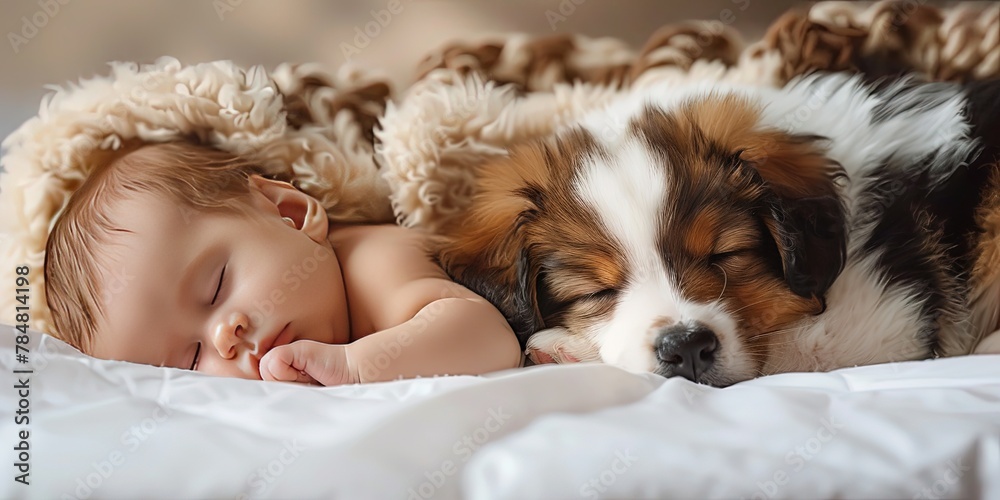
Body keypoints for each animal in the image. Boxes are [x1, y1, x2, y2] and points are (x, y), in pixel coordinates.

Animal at [432, 73, 1000, 386]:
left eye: (724, 256)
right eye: (596, 291)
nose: (685, 347)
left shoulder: (887, 315)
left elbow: (786, 351)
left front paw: (565, 348)